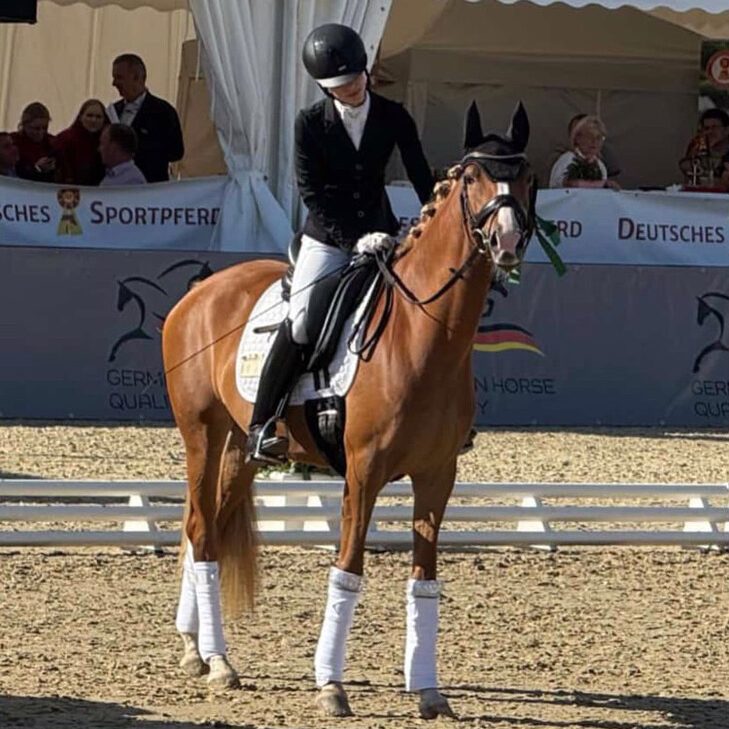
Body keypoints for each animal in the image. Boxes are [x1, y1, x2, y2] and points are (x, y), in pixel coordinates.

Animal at [161, 101, 536, 719]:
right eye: (472, 176)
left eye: (526, 174)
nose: (506, 240)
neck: (424, 332)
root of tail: (199, 293)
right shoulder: (363, 473)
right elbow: (348, 570)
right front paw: (331, 686)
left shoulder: (438, 476)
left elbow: (424, 578)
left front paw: (427, 690)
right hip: (202, 433)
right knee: (198, 527)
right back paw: (218, 662)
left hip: (243, 446)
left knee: (208, 528)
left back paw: (196, 647)